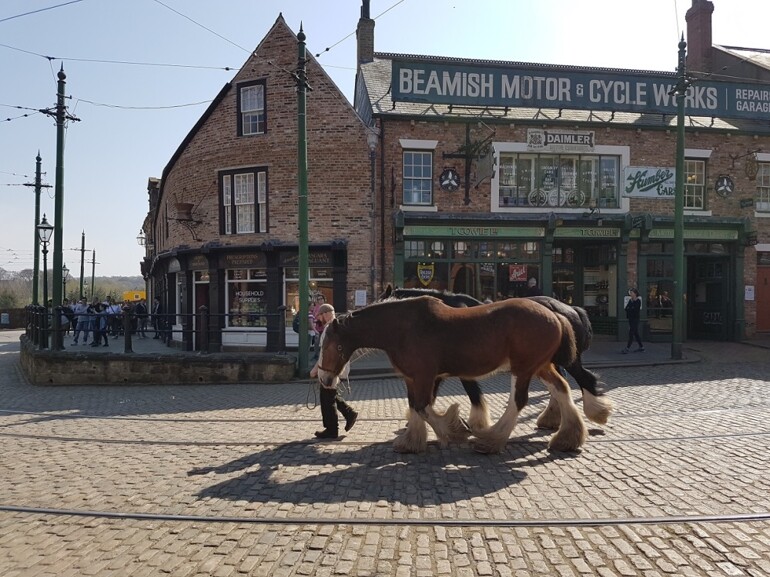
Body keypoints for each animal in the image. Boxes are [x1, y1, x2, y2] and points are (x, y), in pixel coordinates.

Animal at [316, 296, 584, 454]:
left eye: (330, 346)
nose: (324, 379)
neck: (403, 329)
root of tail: (556, 314)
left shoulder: (424, 376)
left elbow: (424, 408)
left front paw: (454, 431)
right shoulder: (412, 378)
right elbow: (415, 407)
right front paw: (411, 442)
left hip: (524, 368)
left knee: (518, 401)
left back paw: (490, 440)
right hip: (541, 366)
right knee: (561, 389)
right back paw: (568, 437)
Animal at [380, 284, 612, 432]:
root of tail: (571, 309)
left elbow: (472, 393)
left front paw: (477, 423)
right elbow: (432, 394)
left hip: (566, 360)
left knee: (584, 379)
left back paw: (596, 412)